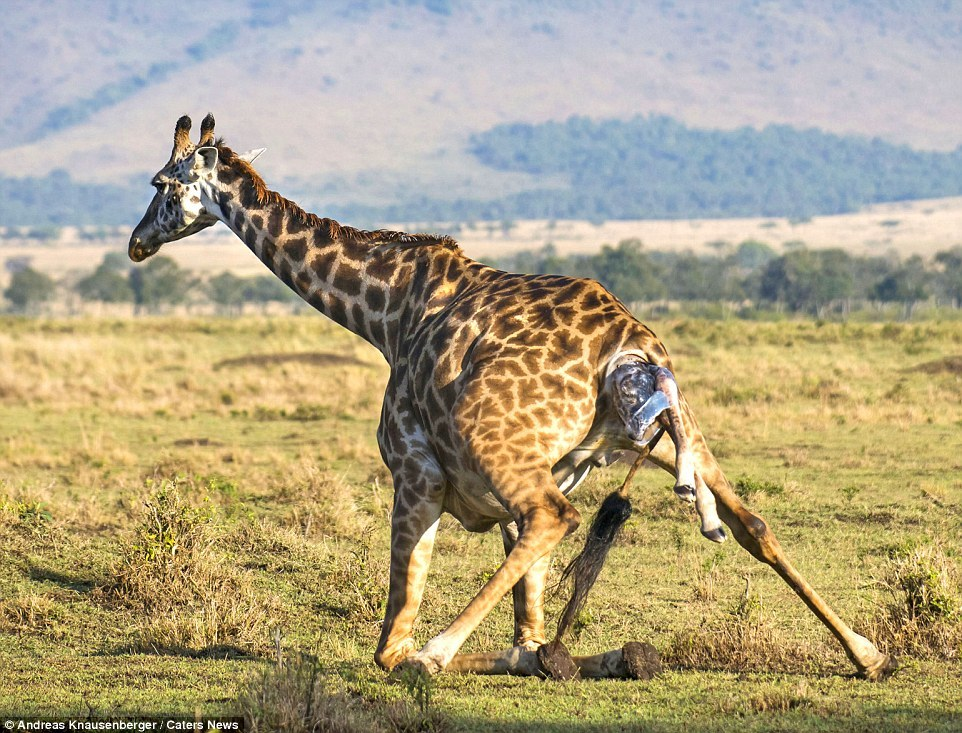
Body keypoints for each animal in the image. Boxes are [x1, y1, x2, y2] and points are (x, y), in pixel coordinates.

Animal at [127, 114, 892, 680]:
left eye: (162, 183)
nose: (136, 243)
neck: (386, 312)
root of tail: (629, 345)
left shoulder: (416, 470)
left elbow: (393, 635)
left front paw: (435, 653)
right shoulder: (523, 482)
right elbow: (526, 625)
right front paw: (569, 654)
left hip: (492, 435)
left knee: (557, 516)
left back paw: (438, 653)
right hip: (680, 432)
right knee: (752, 522)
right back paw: (866, 652)